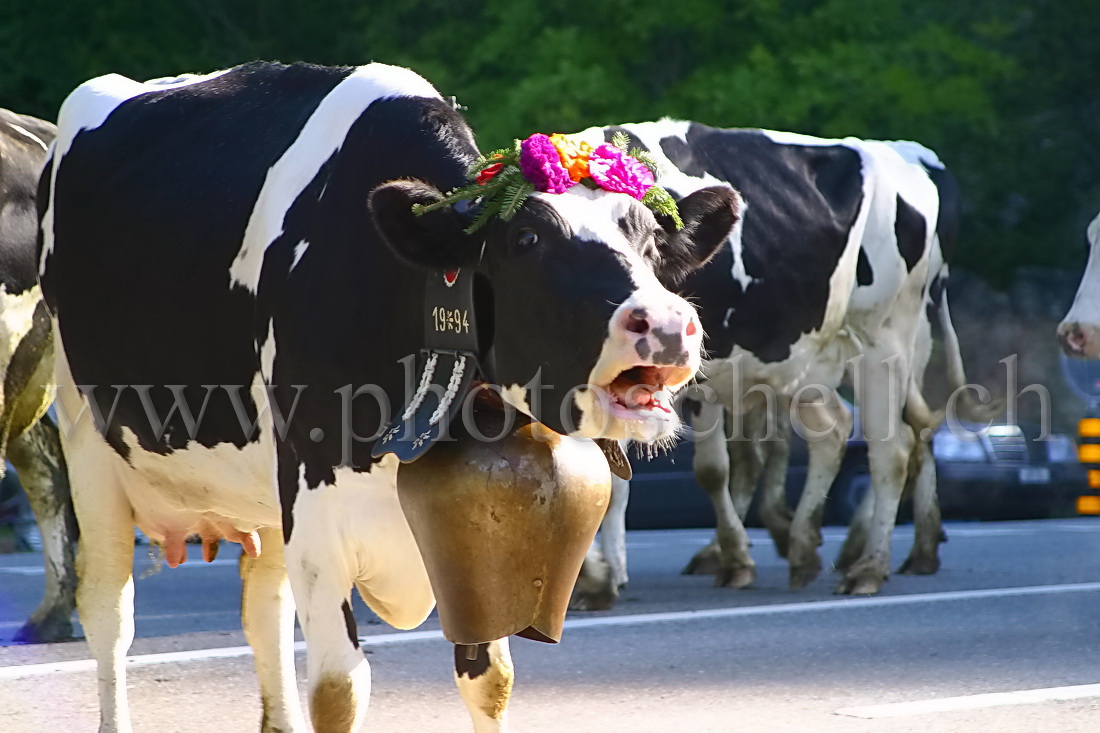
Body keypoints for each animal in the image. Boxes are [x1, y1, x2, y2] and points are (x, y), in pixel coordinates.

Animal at [38, 62, 739, 730]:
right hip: (88, 447)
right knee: (109, 611)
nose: (669, 323)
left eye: (651, 241)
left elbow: (490, 682)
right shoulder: (315, 505)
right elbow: (338, 691)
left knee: (262, 608)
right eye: (526, 241)